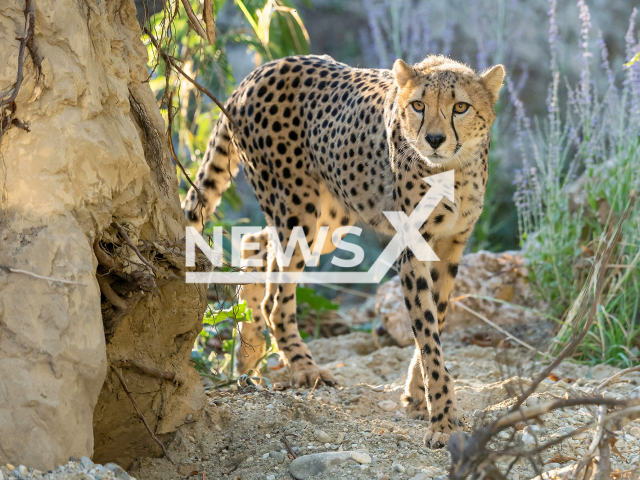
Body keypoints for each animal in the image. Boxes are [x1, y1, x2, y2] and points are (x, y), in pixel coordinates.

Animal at [184, 53, 504, 446]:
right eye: (418, 105)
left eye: (461, 107)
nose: (433, 139)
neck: (451, 168)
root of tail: (262, 70)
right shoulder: (413, 248)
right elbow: (427, 335)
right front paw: (442, 420)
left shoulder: (450, 246)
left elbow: (435, 324)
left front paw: (417, 396)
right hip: (299, 210)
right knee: (275, 298)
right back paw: (304, 368)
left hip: (330, 217)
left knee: (255, 241)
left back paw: (249, 352)